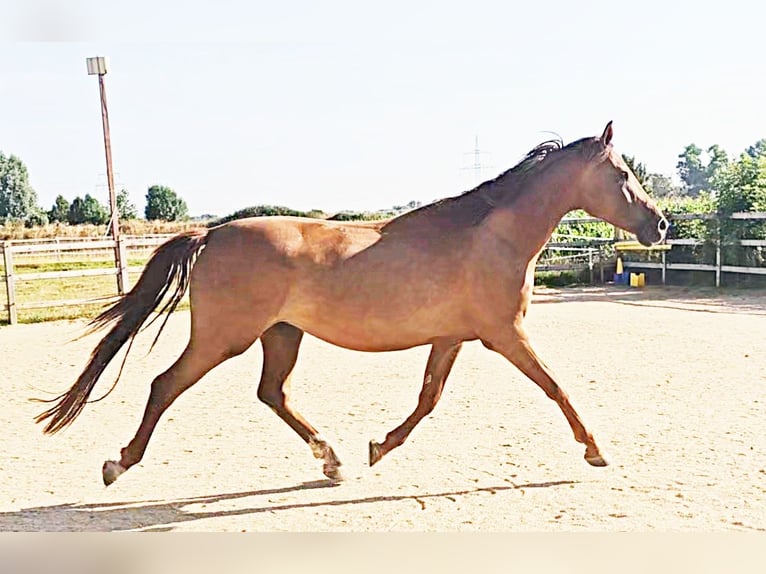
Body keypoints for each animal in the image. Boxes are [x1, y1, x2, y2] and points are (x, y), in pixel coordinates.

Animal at [36, 121, 668, 486]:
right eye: (624, 174)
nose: (660, 224)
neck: (492, 235)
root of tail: (210, 234)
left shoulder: (452, 337)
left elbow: (428, 400)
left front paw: (377, 448)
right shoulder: (504, 335)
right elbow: (556, 387)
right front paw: (596, 451)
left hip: (281, 335)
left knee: (272, 393)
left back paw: (332, 460)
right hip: (223, 338)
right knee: (165, 385)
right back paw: (118, 463)